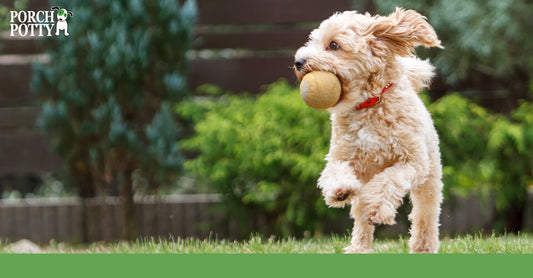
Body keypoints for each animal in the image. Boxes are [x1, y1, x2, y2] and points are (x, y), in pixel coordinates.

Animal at [294, 7, 442, 253]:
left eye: (333, 45)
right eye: (312, 41)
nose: (298, 61)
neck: (369, 105)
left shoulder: (413, 161)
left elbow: (389, 180)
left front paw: (379, 209)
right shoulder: (341, 156)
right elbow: (334, 172)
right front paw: (340, 190)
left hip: (429, 177)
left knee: (425, 212)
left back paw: (422, 246)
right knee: (361, 215)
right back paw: (358, 248)